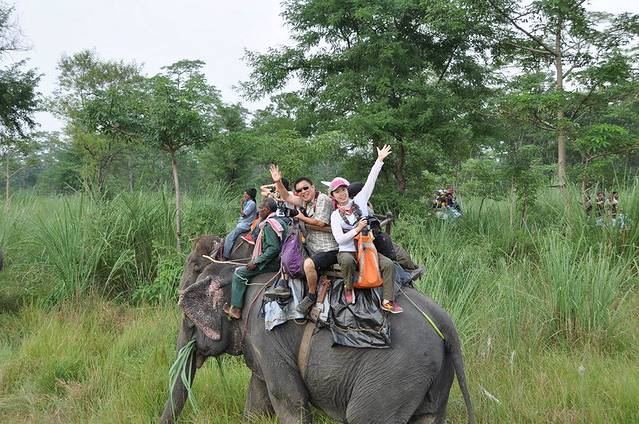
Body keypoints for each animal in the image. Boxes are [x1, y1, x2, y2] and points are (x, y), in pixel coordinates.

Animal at [160, 235, 474, 424]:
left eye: (189, 322)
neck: (239, 269)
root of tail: (445, 322)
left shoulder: (266, 335)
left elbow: (289, 400)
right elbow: (258, 400)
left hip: (395, 374)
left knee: (364, 417)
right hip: (432, 375)